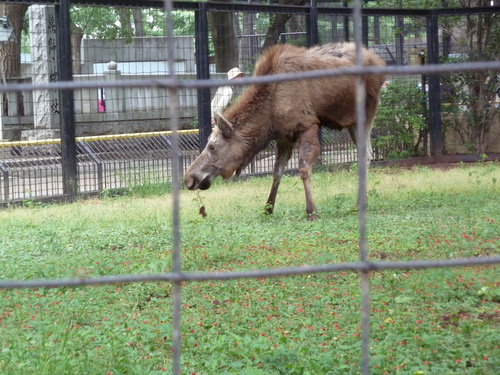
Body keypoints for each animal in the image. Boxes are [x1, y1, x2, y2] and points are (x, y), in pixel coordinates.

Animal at [186, 42, 384, 220]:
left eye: (212, 146)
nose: (189, 178)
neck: (268, 113)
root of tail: (380, 63)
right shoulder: (284, 137)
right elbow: (277, 172)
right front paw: (268, 208)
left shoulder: (307, 125)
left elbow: (303, 168)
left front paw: (312, 211)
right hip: (352, 121)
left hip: (366, 112)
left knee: (366, 154)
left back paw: (359, 204)